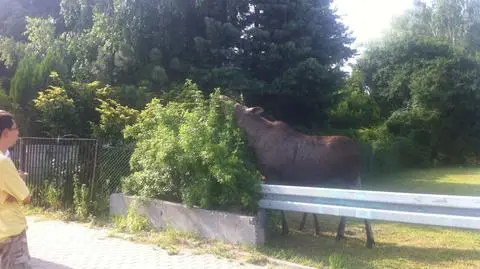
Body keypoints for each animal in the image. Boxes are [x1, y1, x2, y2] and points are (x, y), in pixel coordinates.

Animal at [220, 95, 376, 248]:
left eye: (236, 106)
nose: (220, 96)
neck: (254, 138)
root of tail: (358, 152)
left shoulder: (272, 175)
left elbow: (279, 206)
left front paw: (285, 229)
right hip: (353, 179)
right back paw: (347, 235)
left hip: (349, 178)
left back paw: (366, 239)